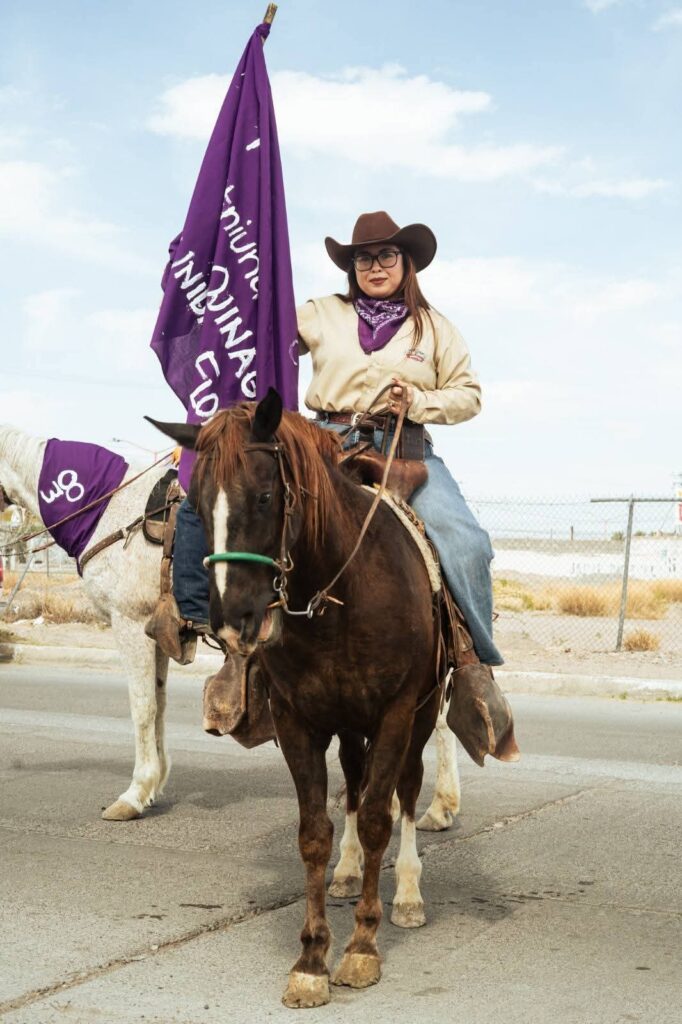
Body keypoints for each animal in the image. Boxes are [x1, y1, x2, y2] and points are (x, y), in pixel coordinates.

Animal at [0, 423, 461, 835]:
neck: (108, 508)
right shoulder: (155, 635)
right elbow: (159, 705)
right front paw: (154, 786)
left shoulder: (128, 623)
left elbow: (142, 708)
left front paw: (133, 795)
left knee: (434, 720)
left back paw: (436, 806)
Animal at [150, 391, 469, 1009]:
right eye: (195, 504)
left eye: (264, 496)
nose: (234, 620)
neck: (341, 595)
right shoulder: (299, 721)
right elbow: (314, 833)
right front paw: (312, 958)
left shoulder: (395, 714)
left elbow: (379, 819)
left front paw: (362, 947)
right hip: (346, 723)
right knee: (355, 779)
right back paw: (347, 872)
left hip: (419, 715)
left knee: (406, 790)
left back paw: (408, 894)